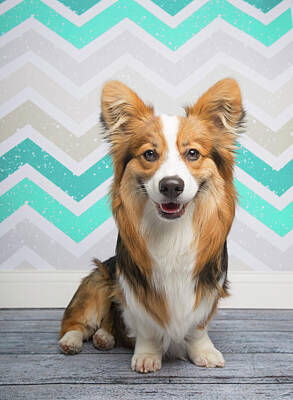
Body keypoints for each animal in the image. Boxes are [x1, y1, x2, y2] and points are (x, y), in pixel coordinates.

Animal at [58, 77, 243, 372]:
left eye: (193, 153)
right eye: (150, 154)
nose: (171, 186)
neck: (172, 230)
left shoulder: (206, 289)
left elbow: (198, 327)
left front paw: (204, 352)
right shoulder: (136, 291)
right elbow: (146, 327)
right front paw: (147, 355)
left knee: (106, 326)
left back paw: (104, 338)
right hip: (98, 280)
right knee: (76, 322)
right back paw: (72, 341)